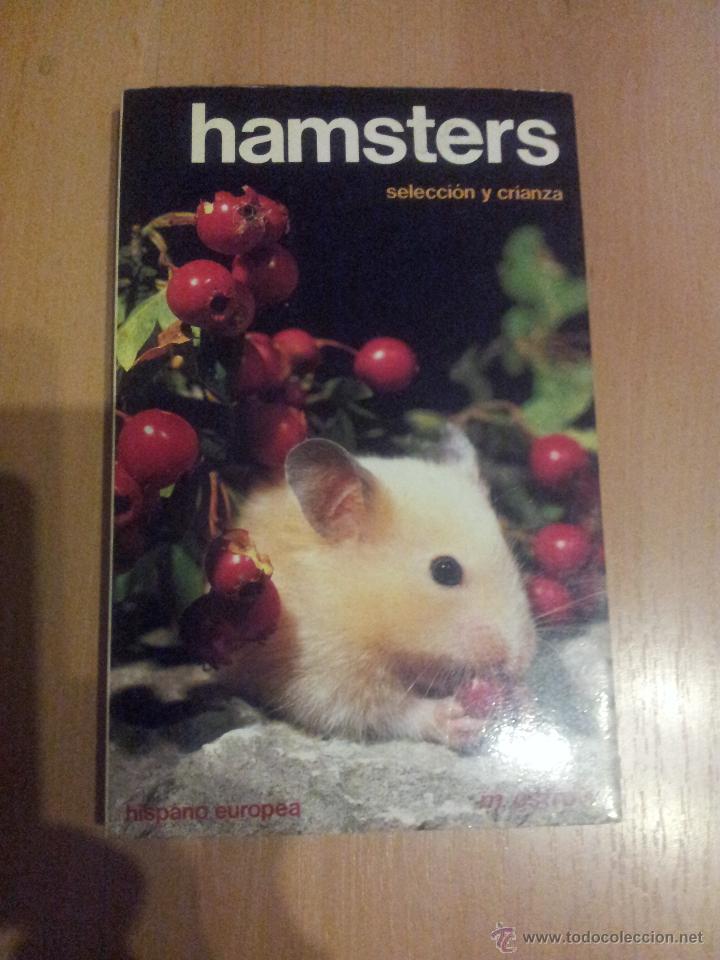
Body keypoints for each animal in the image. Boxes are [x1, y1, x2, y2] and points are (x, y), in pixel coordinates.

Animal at [221, 432, 537, 748]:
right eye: (445, 570)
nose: (518, 663)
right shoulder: (323, 672)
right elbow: (392, 712)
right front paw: (455, 719)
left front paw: (521, 700)